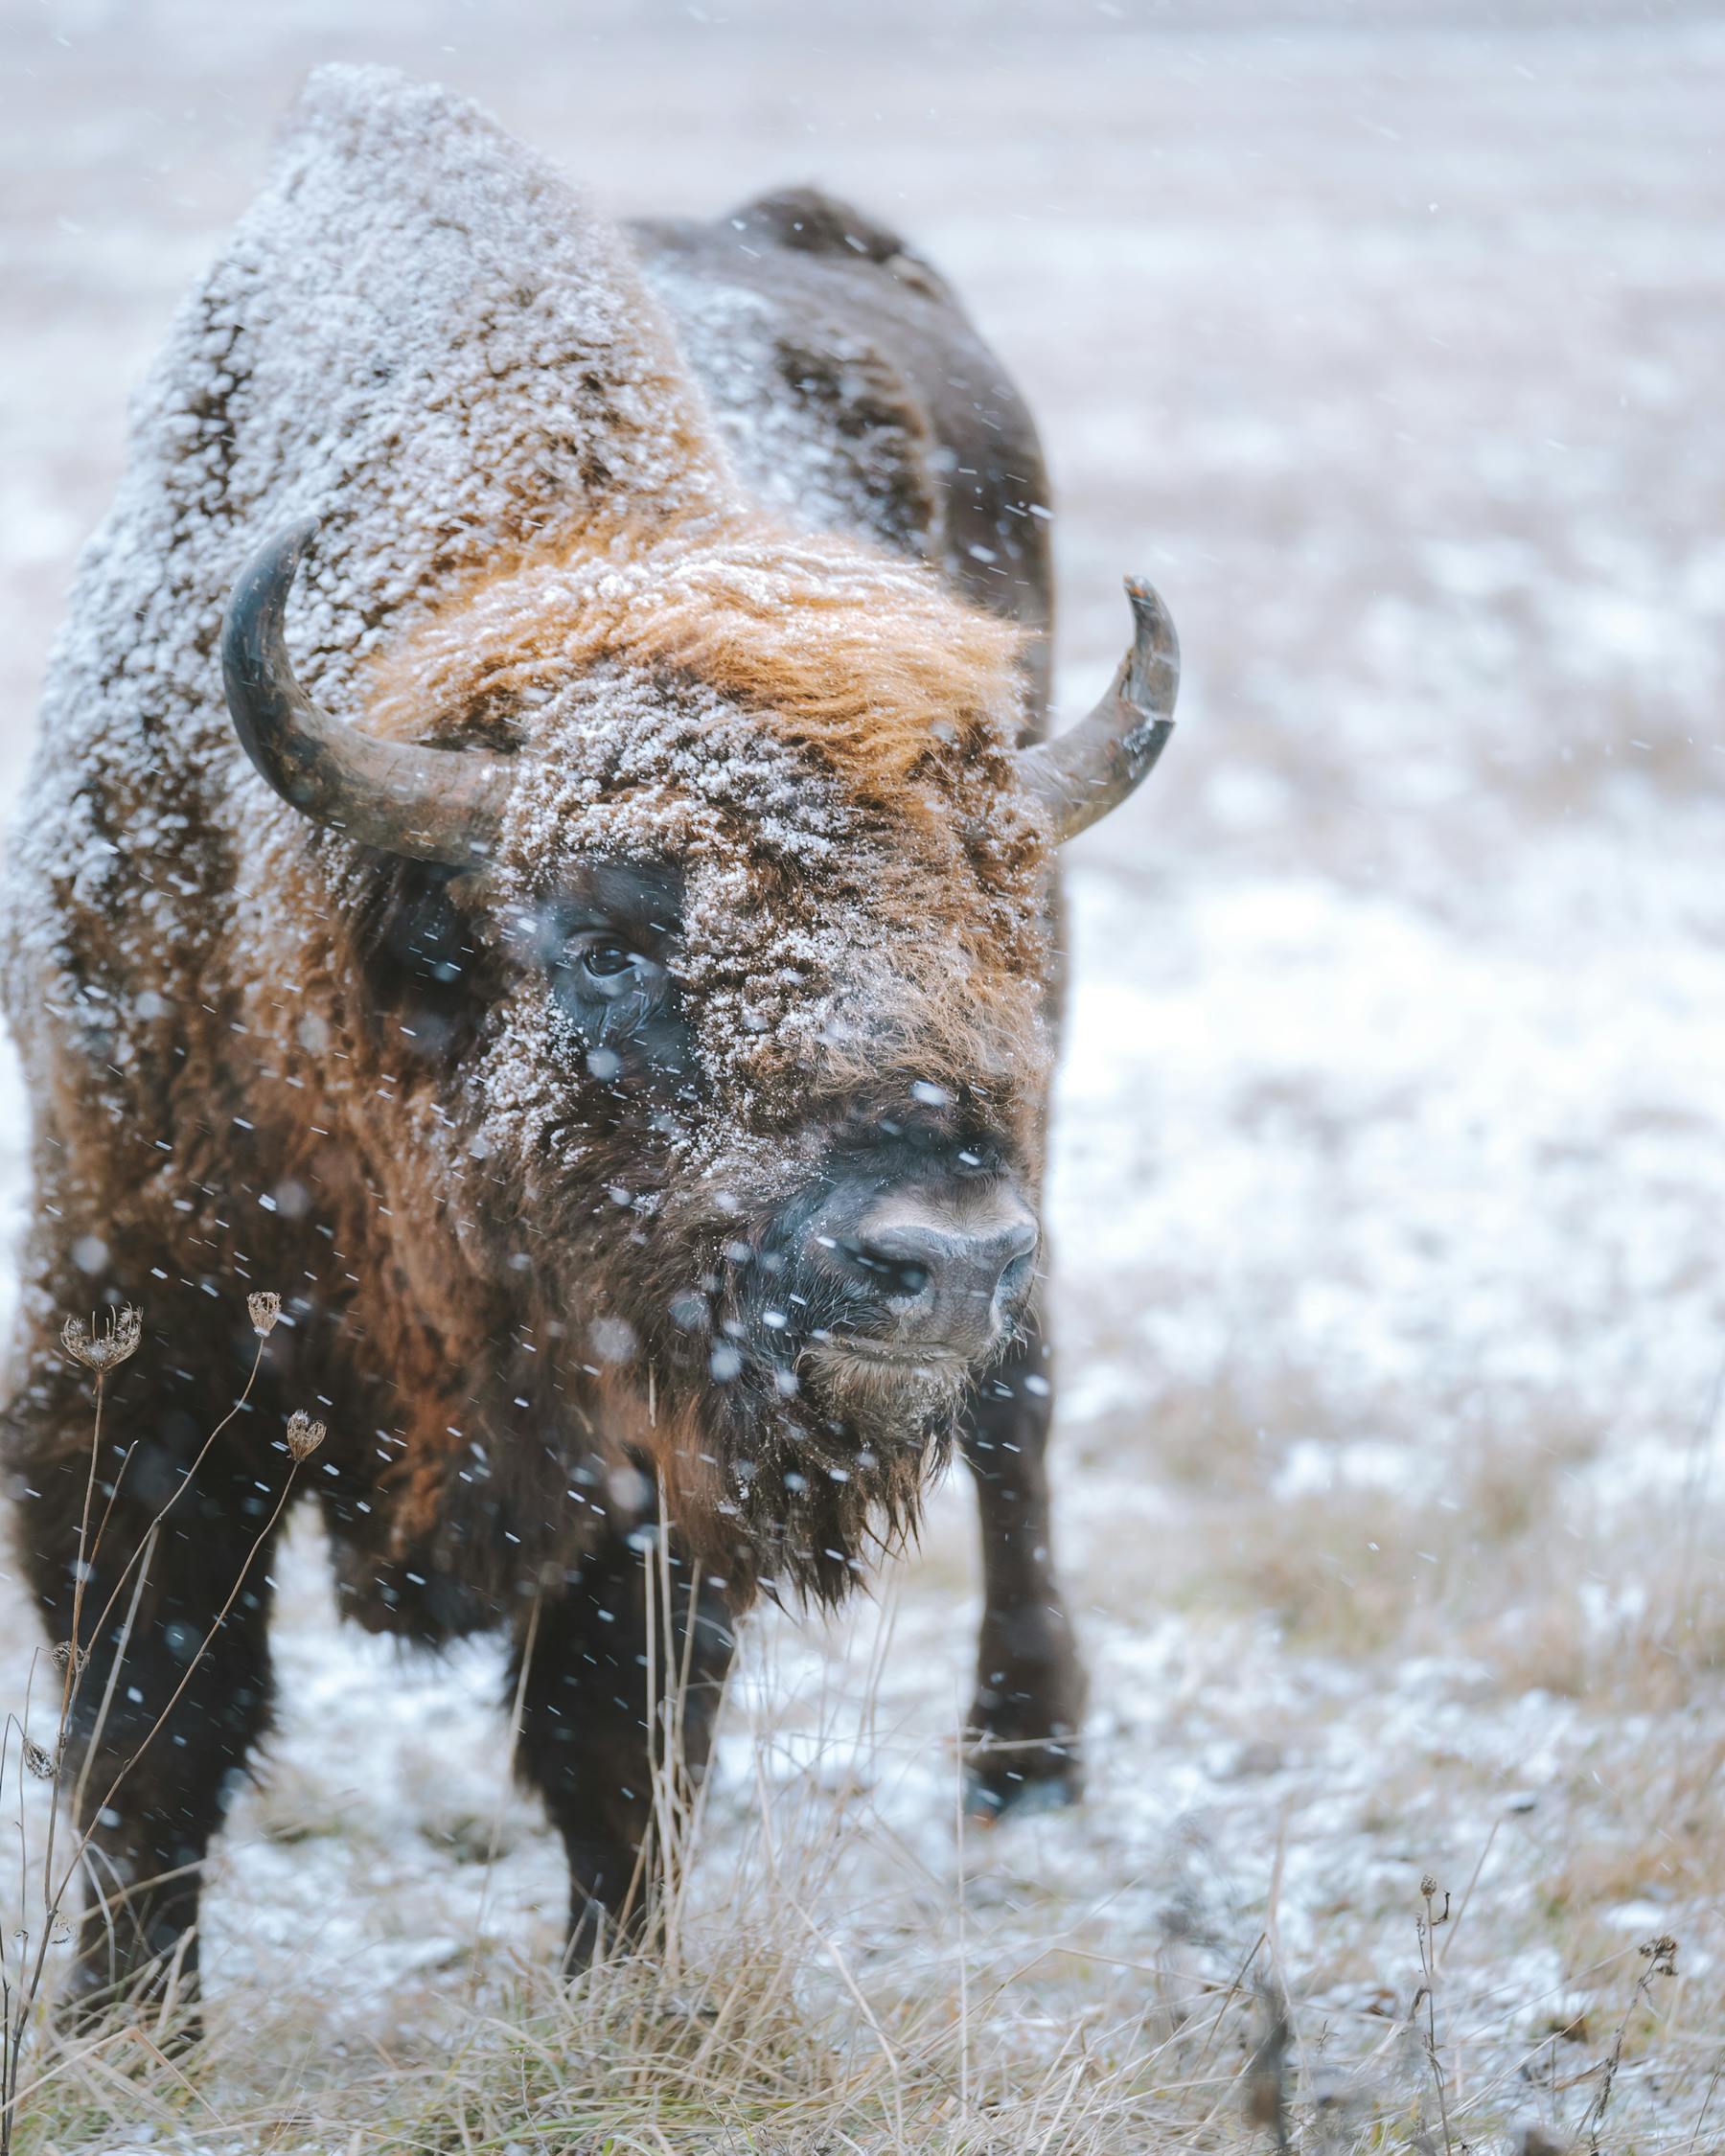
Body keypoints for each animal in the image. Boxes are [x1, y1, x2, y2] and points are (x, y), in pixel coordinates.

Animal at [0, 71, 1173, 2018]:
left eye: (989, 923)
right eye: (609, 935)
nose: (933, 1257)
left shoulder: (653, 1446)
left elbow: (613, 1742)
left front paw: (621, 1996)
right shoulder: (127, 1344)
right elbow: (155, 1726)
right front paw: (122, 2026)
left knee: (1020, 1411)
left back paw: (1026, 1763)